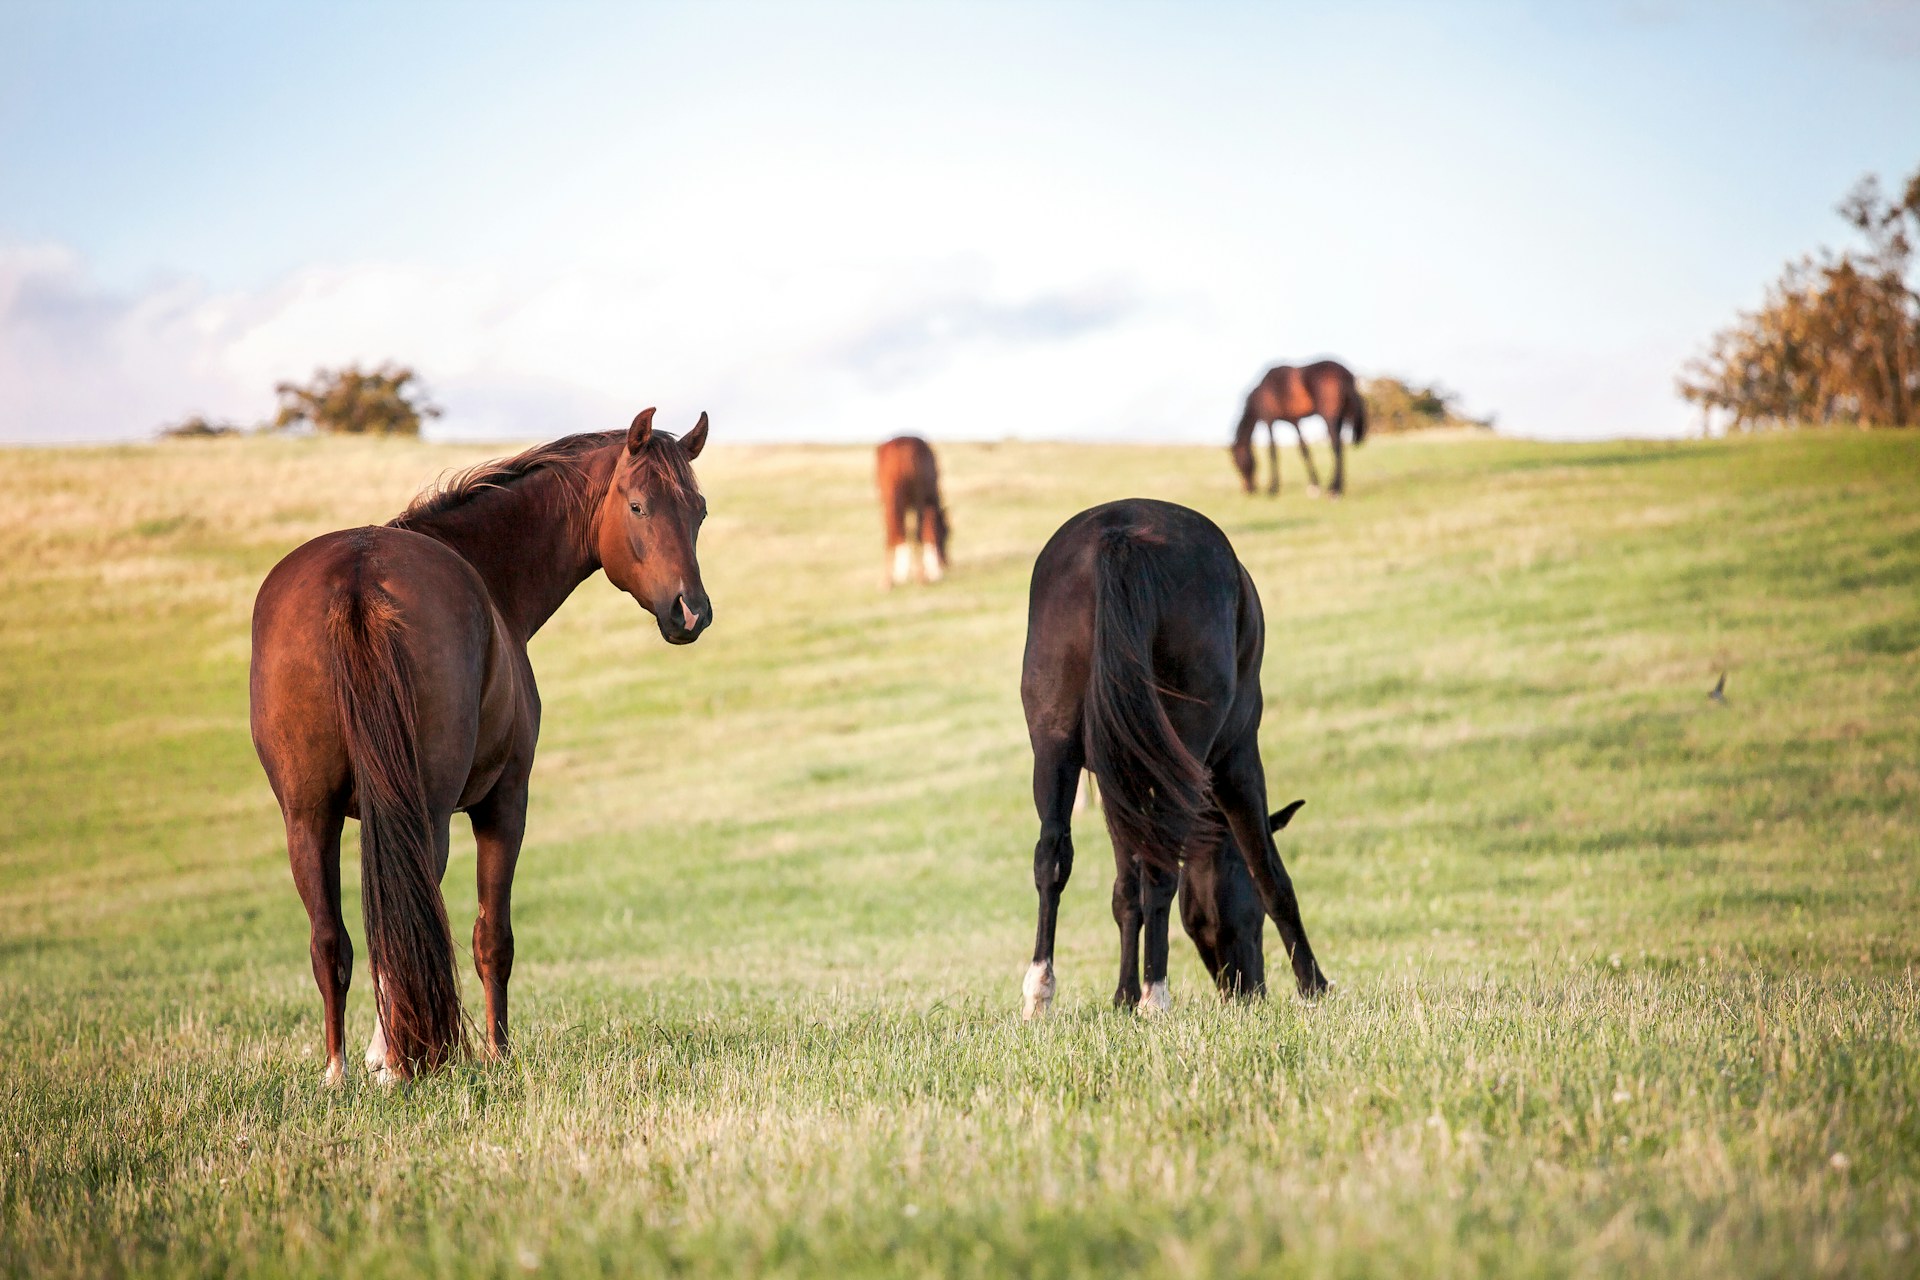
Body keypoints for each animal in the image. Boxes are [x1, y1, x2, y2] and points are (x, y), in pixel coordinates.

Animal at [249, 409, 712, 1084]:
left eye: (698, 510)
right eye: (638, 506)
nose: (691, 612)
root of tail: (356, 578)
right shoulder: (505, 802)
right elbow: (492, 939)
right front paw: (496, 1052)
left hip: (307, 816)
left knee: (331, 938)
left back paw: (341, 1069)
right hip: (427, 811)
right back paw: (398, 1060)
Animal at [875, 435, 949, 588]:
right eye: (946, 533)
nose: (946, 563)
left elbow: (904, 533)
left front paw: (900, 576)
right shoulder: (926, 504)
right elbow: (927, 532)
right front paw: (933, 574)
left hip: (889, 501)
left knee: (891, 533)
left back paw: (886, 581)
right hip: (917, 501)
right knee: (917, 533)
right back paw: (920, 577)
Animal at [1018, 498, 1329, 1017]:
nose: (1248, 989)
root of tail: (1120, 535)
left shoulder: (1115, 782)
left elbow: (1126, 890)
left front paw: (1122, 996)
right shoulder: (1238, 761)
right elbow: (1270, 872)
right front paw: (1314, 985)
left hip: (1054, 746)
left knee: (1052, 856)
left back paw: (1040, 992)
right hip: (1193, 750)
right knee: (1163, 868)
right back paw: (1156, 995)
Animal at [1231, 359, 1368, 497]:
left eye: (1237, 461)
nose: (1248, 489)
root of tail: (1345, 374)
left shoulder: (1268, 420)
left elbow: (1272, 452)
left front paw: (1273, 489)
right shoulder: (1294, 421)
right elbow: (1304, 450)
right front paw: (1314, 485)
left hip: (1330, 418)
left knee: (1337, 447)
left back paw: (1335, 490)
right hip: (1340, 419)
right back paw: (1335, 487)